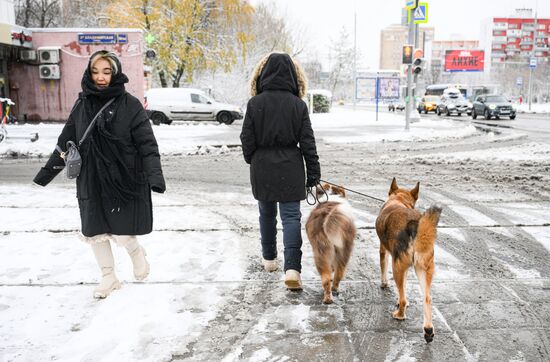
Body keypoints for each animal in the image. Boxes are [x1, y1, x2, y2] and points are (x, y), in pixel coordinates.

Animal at [376, 177, 444, 342]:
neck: (399, 200)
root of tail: (416, 226)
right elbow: (404, 287)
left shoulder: (385, 252)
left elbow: (385, 269)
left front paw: (384, 284)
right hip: (424, 269)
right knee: (427, 298)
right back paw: (428, 330)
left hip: (397, 268)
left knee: (404, 299)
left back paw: (400, 315)